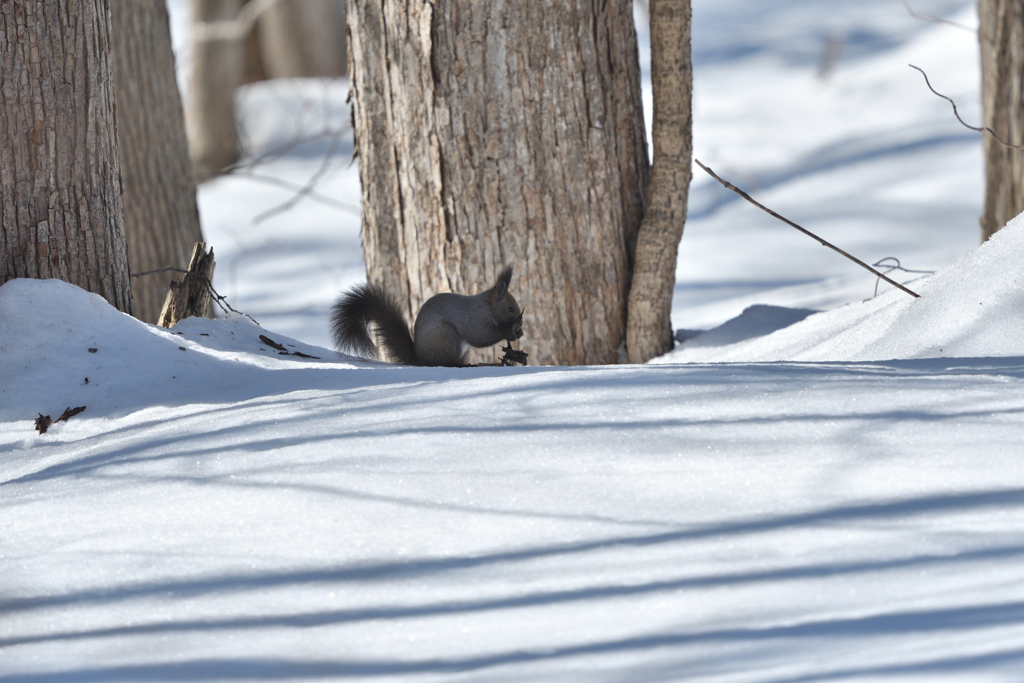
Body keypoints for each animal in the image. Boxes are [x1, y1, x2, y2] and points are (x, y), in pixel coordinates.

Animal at [329, 264, 524, 366]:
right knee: (448, 363)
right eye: (510, 309)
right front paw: (508, 333)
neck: (486, 307)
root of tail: (421, 359)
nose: (519, 322)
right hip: (445, 337)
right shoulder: (473, 319)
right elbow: (479, 336)